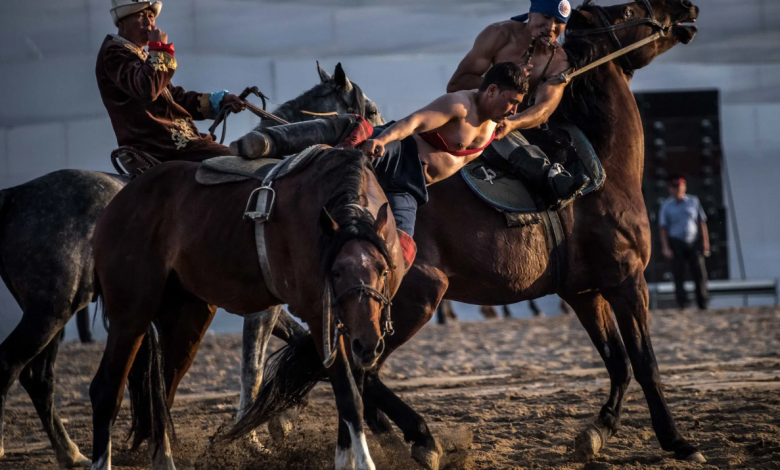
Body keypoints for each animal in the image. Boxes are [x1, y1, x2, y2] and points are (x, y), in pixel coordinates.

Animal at [90, 149, 406, 470]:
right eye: (337, 272)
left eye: (382, 270)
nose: (368, 344)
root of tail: (121, 199)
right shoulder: (321, 318)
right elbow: (348, 395)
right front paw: (363, 462)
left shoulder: (357, 328)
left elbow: (352, 392)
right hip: (131, 314)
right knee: (106, 391)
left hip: (187, 317)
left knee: (162, 394)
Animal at [245, 1, 708, 468]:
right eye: (629, 10)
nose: (686, 8)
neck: (600, 166)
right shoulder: (627, 280)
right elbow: (644, 362)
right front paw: (676, 440)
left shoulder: (585, 292)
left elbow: (617, 363)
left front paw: (597, 431)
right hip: (415, 298)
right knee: (362, 369)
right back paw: (420, 439)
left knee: (347, 372)